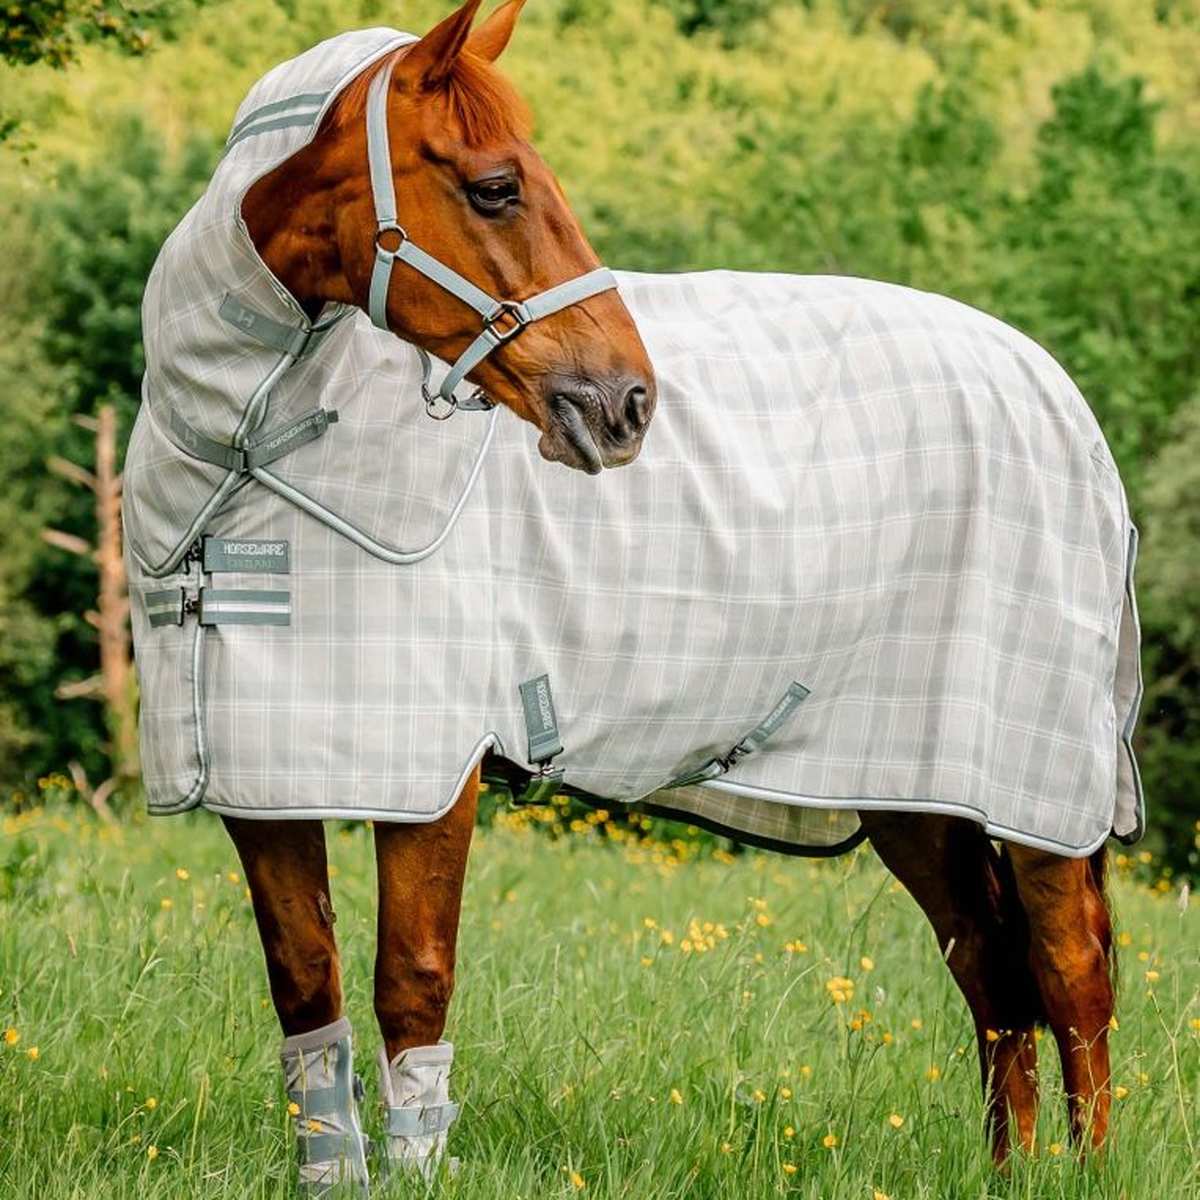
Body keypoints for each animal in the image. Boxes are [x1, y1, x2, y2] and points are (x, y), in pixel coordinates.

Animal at [126, 0, 1135, 1192]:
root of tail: (1055, 393)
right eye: (496, 186)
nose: (627, 402)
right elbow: (307, 992)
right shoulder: (266, 785)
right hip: (915, 789)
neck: (247, 464)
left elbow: (411, 983)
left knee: (1070, 973)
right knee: (990, 969)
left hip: (1037, 791)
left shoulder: (433, 781)